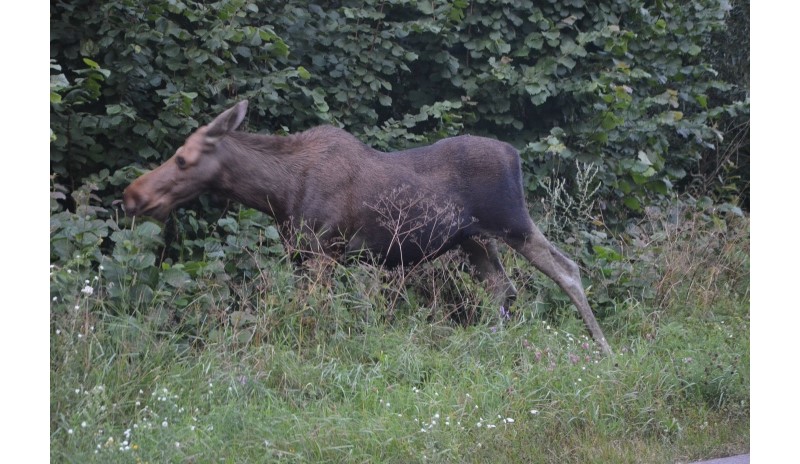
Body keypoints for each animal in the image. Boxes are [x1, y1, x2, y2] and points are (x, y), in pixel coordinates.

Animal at [125, 102, 612, 356]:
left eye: (183, 159)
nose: (132, 195)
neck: (275, 193)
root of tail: (516, 156)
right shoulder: (302, 255)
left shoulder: (323, 249)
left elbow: (314, 314)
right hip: (473, 239)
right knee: (502, 287)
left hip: (512, 222)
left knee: (567, 269)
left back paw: (604, 347)